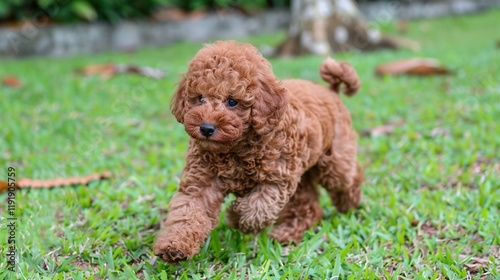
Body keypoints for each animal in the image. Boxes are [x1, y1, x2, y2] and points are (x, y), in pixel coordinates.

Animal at [153, 41, 364, 262]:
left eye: (232, 101)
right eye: (200, 98)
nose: (206, 128)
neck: (236, 148)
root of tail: (330, 91)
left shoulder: (275, 179)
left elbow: (257, 208)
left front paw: (235, 217)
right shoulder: (201, 181)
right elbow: (188, 211)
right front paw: (174, 246)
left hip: (333, 161)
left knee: (348, 177)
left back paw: (350, 204)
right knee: (308, 206)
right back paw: (286, 233)